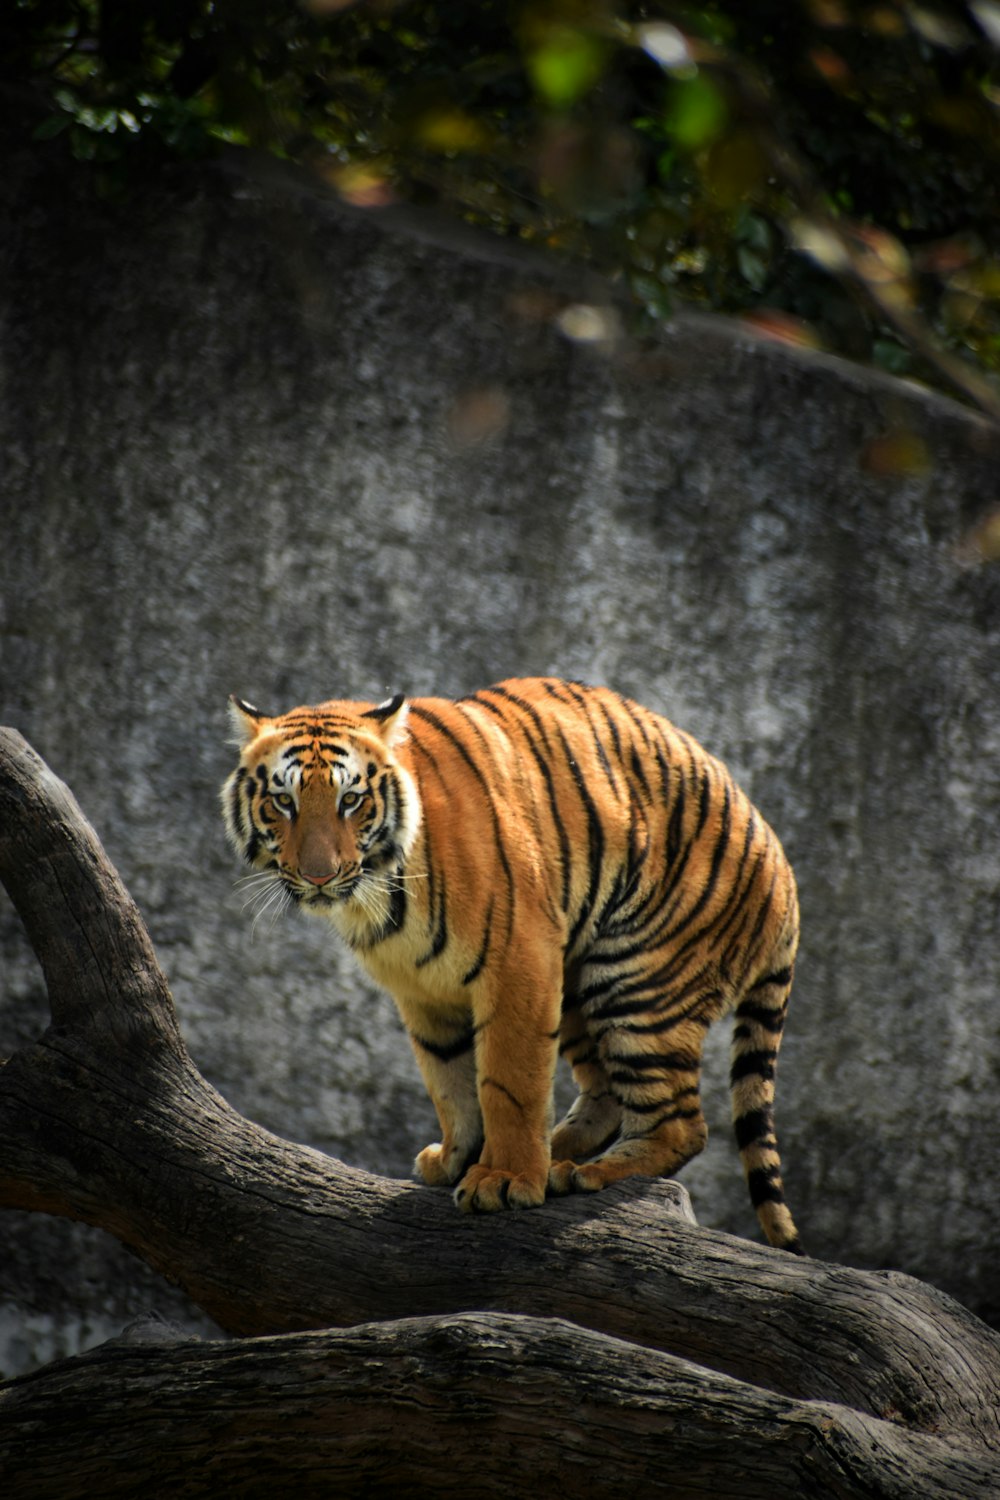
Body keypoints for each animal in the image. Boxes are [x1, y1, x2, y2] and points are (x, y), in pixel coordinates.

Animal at [220, 675, 803, 1248]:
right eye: (283, 802)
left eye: (351, 800)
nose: (318, 875)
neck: (380, 895)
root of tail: (785, 873)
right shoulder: (423, 990)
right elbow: (448, 1080)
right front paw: (456, 1158)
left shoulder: (519, 961)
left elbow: (508, 1082)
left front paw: (503, 1180)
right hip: (580, 982)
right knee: (610, 1096)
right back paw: (558, 1152)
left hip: (639, 981)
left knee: (681, 1125)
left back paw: (582, 1172)